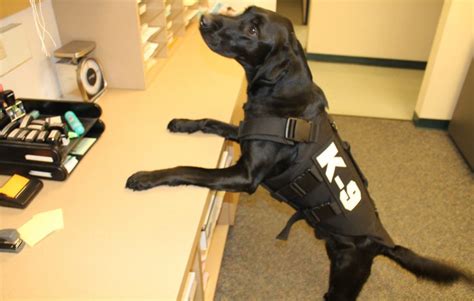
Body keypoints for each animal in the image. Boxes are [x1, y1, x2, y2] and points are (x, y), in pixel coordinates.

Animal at [128, 5, 472, 298]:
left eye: (253, 30)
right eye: (243, 13)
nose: (204, 20)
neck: (281, 90)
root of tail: (383, 242)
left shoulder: (244, 176)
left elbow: (189, 170)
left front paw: (146, 177)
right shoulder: (245, 131)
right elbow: (210, 122)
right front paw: (182, 123)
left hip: (347, 276)